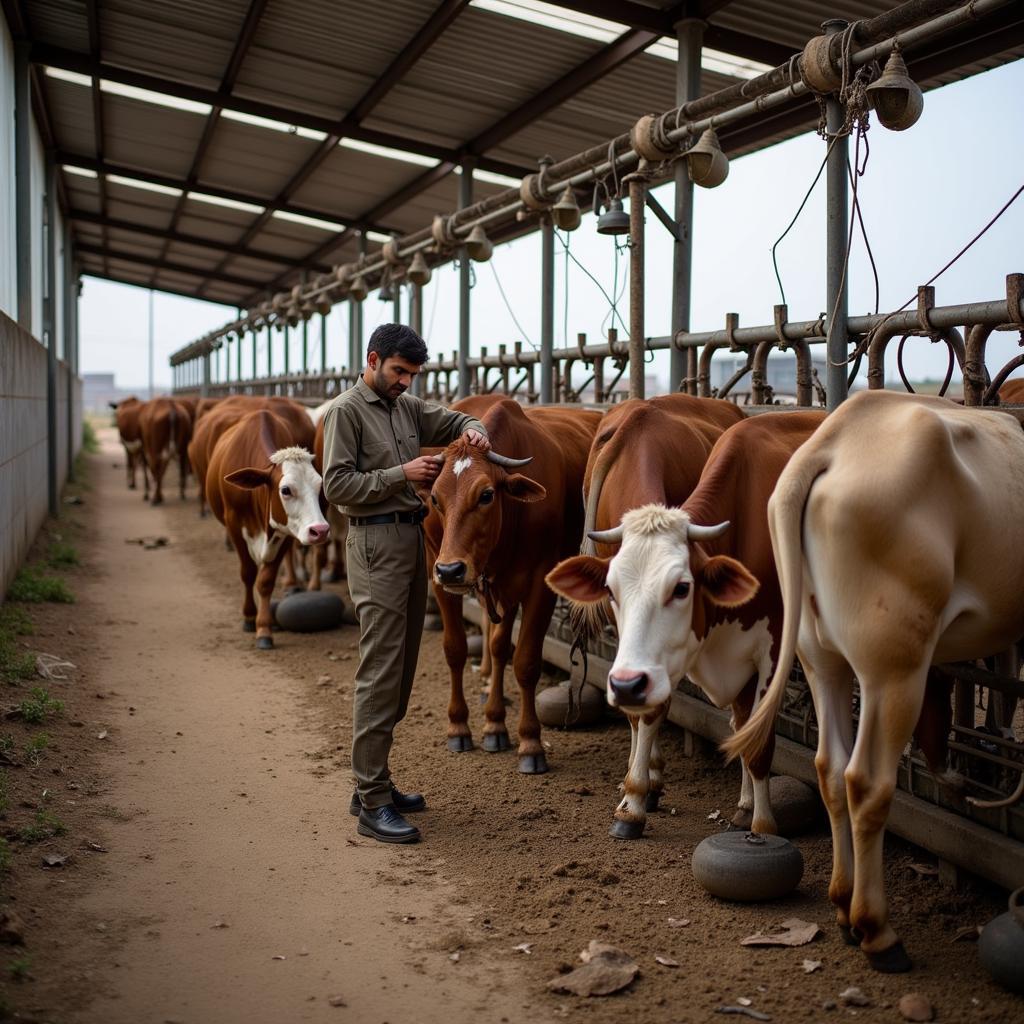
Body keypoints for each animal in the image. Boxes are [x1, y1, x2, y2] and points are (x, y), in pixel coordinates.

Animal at [208, 407, 331, 647]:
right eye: (286, 490)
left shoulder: (286, 530)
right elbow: (248, 573)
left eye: (319, 485)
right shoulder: (234, 526)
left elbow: (265, 581)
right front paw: (249, 617)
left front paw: (264, 629)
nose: (320, 530)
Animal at [430, 395, 598, 770]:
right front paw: (458, 727)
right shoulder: (435, 571)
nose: (451, 570)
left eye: (486, 495)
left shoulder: (541, 581)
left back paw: (497, 724)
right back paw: (494, 724)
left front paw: (531, 743)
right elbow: (455, 649)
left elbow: (526, 662)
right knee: (497, 645)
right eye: (434, 498)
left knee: (502, 647)